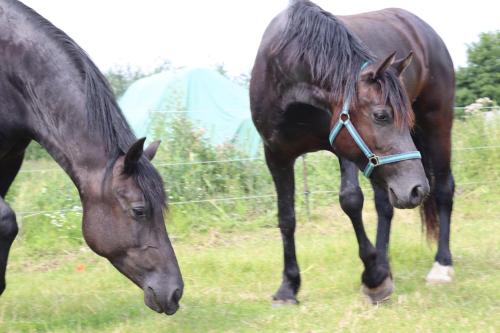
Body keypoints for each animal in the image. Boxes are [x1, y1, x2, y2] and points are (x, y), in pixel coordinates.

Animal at [249, 0, 454, 302]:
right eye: (381, 115)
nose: (417, 189)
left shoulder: (343, 147)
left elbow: (350, 200)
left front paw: (374, 278)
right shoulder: (276, 155)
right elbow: (286, 217)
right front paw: (288, 287)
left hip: (437, 124)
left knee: (444, 188)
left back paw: (441, 265)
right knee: (385, 205)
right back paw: (385, 262)